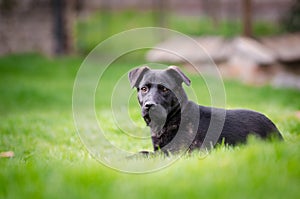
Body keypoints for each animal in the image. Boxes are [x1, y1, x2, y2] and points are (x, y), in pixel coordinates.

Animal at [127, 66, 282, 153]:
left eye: (165, 89)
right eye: (144, 89)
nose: (149, 105)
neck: (176, 116)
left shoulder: (178, 153)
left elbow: (143, 153)